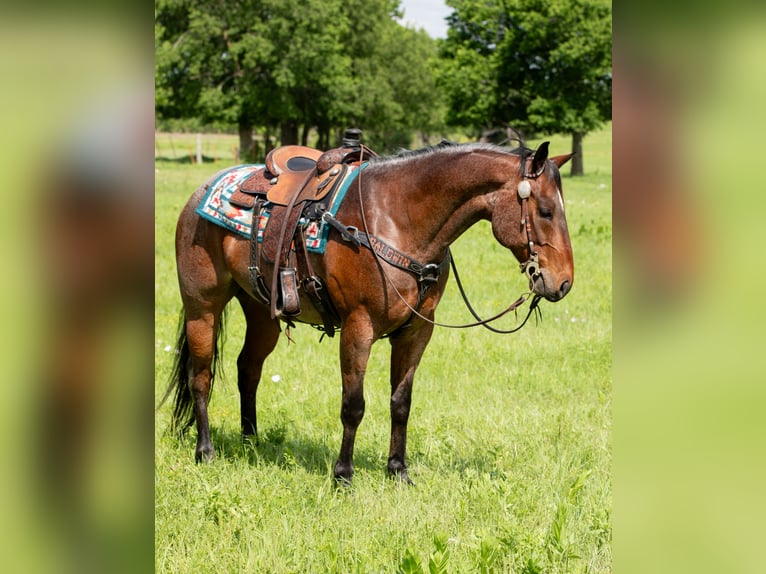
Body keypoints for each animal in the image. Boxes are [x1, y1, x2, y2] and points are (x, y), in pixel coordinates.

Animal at [165, 141, 572, 486]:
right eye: (546, 211)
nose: (564, 282)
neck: (398, 218)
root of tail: (202, 190)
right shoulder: (358, 328)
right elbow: (353, 405)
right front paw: (343, 474)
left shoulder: (416, 332)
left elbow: (401, 402)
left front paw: (398, 471)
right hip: (202, 307)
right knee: (200, 376)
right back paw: (205, 451)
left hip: (263, 313)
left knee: (248, 369)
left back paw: (251, 441)